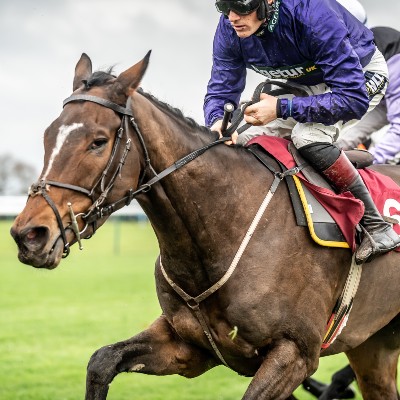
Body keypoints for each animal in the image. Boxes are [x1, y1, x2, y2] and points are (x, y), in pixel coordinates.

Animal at [10, 54, 398, 400]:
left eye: (98, 141)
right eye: (48, 136)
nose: (29, 234)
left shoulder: (296, 354)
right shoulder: (189, 346)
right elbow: (101, 361)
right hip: (372, 346)